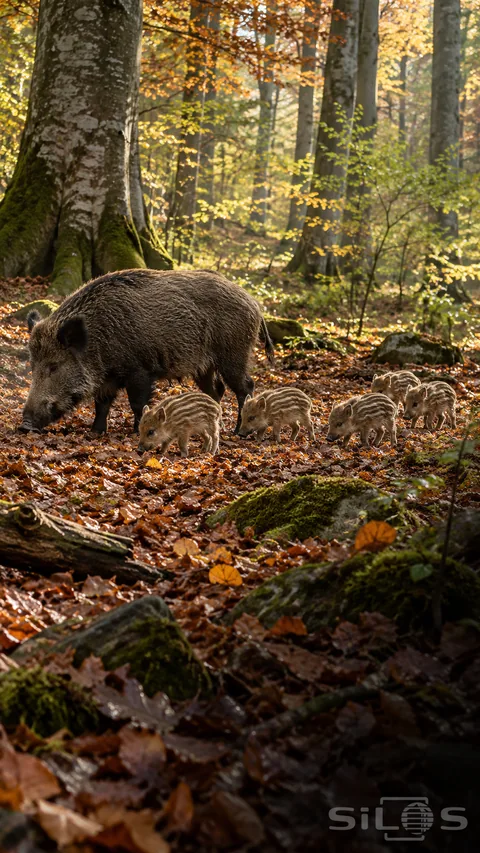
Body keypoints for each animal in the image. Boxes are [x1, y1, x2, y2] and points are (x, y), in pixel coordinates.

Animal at [20, 269, 274, 435]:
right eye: (32, 365)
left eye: (54, 366)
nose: (24, 425)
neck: (98, 339)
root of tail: (255, 304)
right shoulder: (107, 377)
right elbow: (102, 404)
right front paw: (95, 432)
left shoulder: (139, 370)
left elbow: (136, 402)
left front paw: (136, 432)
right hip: (204, 367)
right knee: (216, 390)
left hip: (234, 355)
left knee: (245, 386)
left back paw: (238, 431)